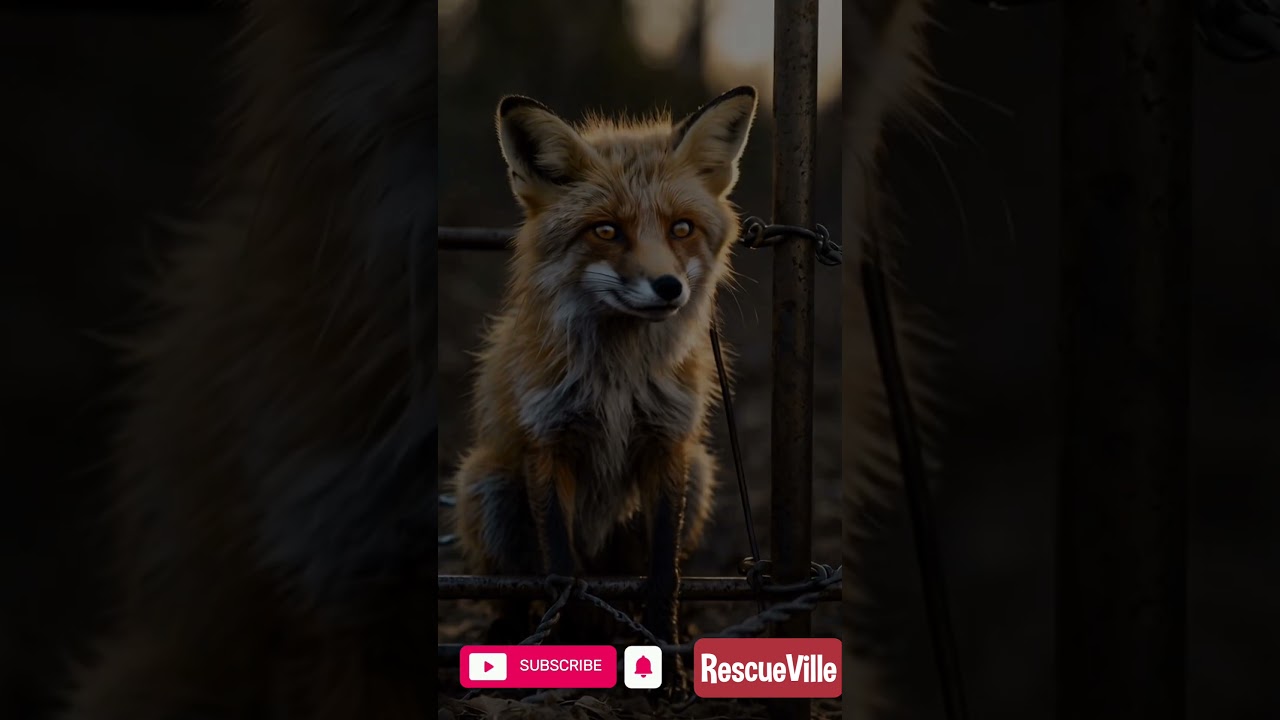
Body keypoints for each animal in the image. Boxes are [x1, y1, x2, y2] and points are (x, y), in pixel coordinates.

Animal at [451, 86, 759, 653]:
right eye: (607, 230)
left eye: (682, 228)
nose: (669, 287)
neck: (619, 377)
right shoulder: (548, 444)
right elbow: (563, 575)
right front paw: (567, 646)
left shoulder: (668, 445)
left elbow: (662, 576)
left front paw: (667, 658)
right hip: (486, 486)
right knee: (510, 588)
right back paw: (511, 631)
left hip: (701, 472)